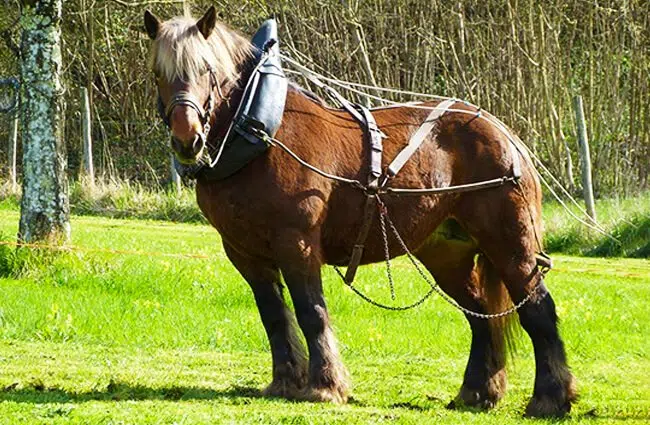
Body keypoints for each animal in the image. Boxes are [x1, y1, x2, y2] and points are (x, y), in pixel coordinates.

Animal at [143, 7, 576, 417]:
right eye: (158, 73)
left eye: (206, 69)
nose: (187, 139)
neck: (261, 134)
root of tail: (505, 134)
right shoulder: (243, 252)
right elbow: (274, 316)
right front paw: (284, 382)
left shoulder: (297, 243)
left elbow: (311, 311)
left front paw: (324, 386)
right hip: (446, 252)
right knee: (481, 314)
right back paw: (477, 392)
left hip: (511, 244)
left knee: (538, 309)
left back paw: (550, 398)